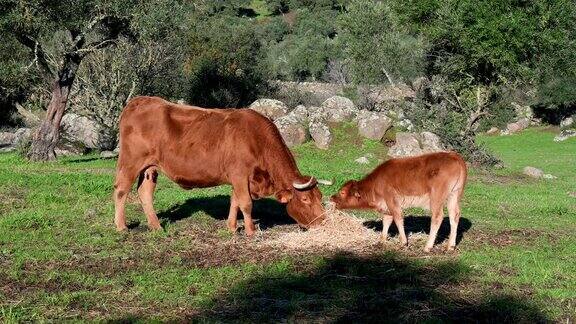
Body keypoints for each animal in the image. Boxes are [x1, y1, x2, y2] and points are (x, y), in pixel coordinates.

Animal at [115, 95, 326, 234]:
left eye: (320, 196)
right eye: (305, 199)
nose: (323, 221)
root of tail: (140, 100)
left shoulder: (238, 178)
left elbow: (235, 201)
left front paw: (231, 228)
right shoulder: (240, 175)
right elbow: (246, 203)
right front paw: (250, 231)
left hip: (150, 167)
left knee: (145, 192)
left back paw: (156, 226)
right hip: (130, 162)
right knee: (121, 190)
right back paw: (121, 226)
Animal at [328, 152, 468, 253]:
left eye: (342, 192)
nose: (332, 198)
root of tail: (454, 156)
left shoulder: (391, 199)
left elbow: (397, 218)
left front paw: (403, 242)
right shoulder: (386, 204)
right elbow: (387, 220)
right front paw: (382, 239)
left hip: (437, 197)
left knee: (437, 217)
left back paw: (428, 246)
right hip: (454, 195)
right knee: (454, 216)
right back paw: (450, 246)